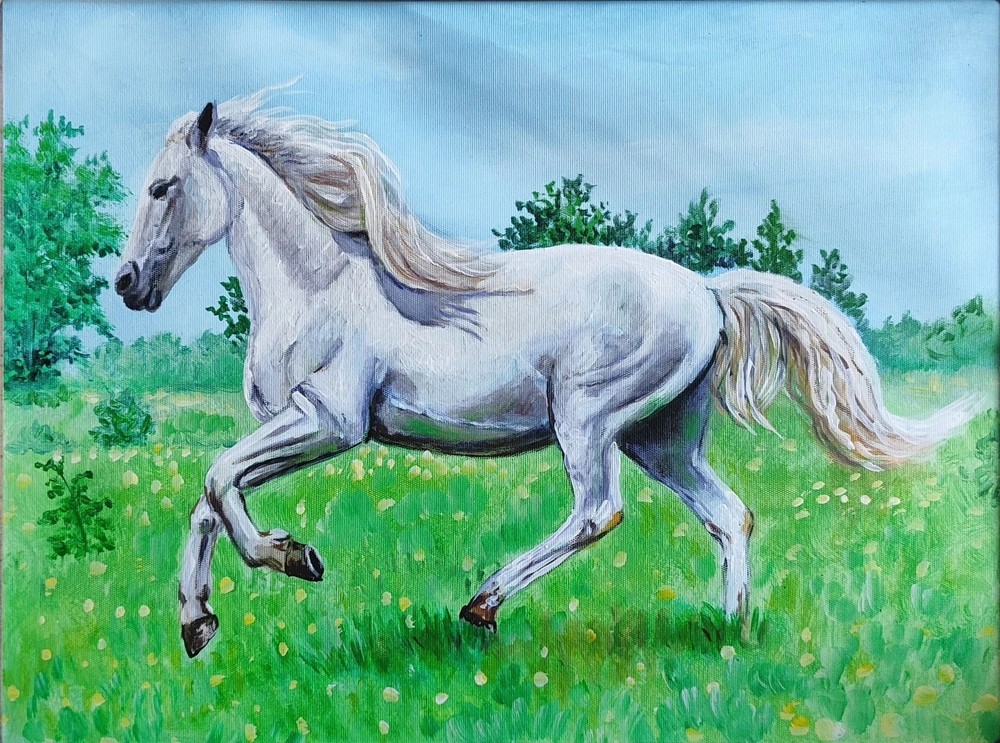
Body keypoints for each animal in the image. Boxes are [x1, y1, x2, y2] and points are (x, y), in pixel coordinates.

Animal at [115, 89, 977, 659]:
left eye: (162, 187)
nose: (126, 284)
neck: (319, 282)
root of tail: (708, 292)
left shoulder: (329, 422)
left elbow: (217, 479)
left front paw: (294, 559)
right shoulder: (293, 425)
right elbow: (209, 497)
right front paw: (198, 622)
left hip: (587, 419)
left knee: (599, 511)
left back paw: (483, 605)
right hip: (662, 440)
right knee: (729, 515)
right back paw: (728, 632)